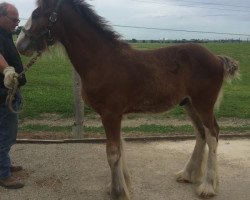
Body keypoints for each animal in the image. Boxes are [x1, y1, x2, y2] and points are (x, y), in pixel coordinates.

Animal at [16, 0, 239, 199]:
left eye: (36, 14)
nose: (20, 44)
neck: (101, 60)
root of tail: (216, 58)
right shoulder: (114, 115)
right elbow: (120, 148)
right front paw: (122, 185)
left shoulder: (111, 114)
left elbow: (113, 152)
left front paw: (118, 192)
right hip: (189, 104)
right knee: (201, 133)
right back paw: (188, 174)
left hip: (204, 104)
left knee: (212, 134)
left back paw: (207, 186)